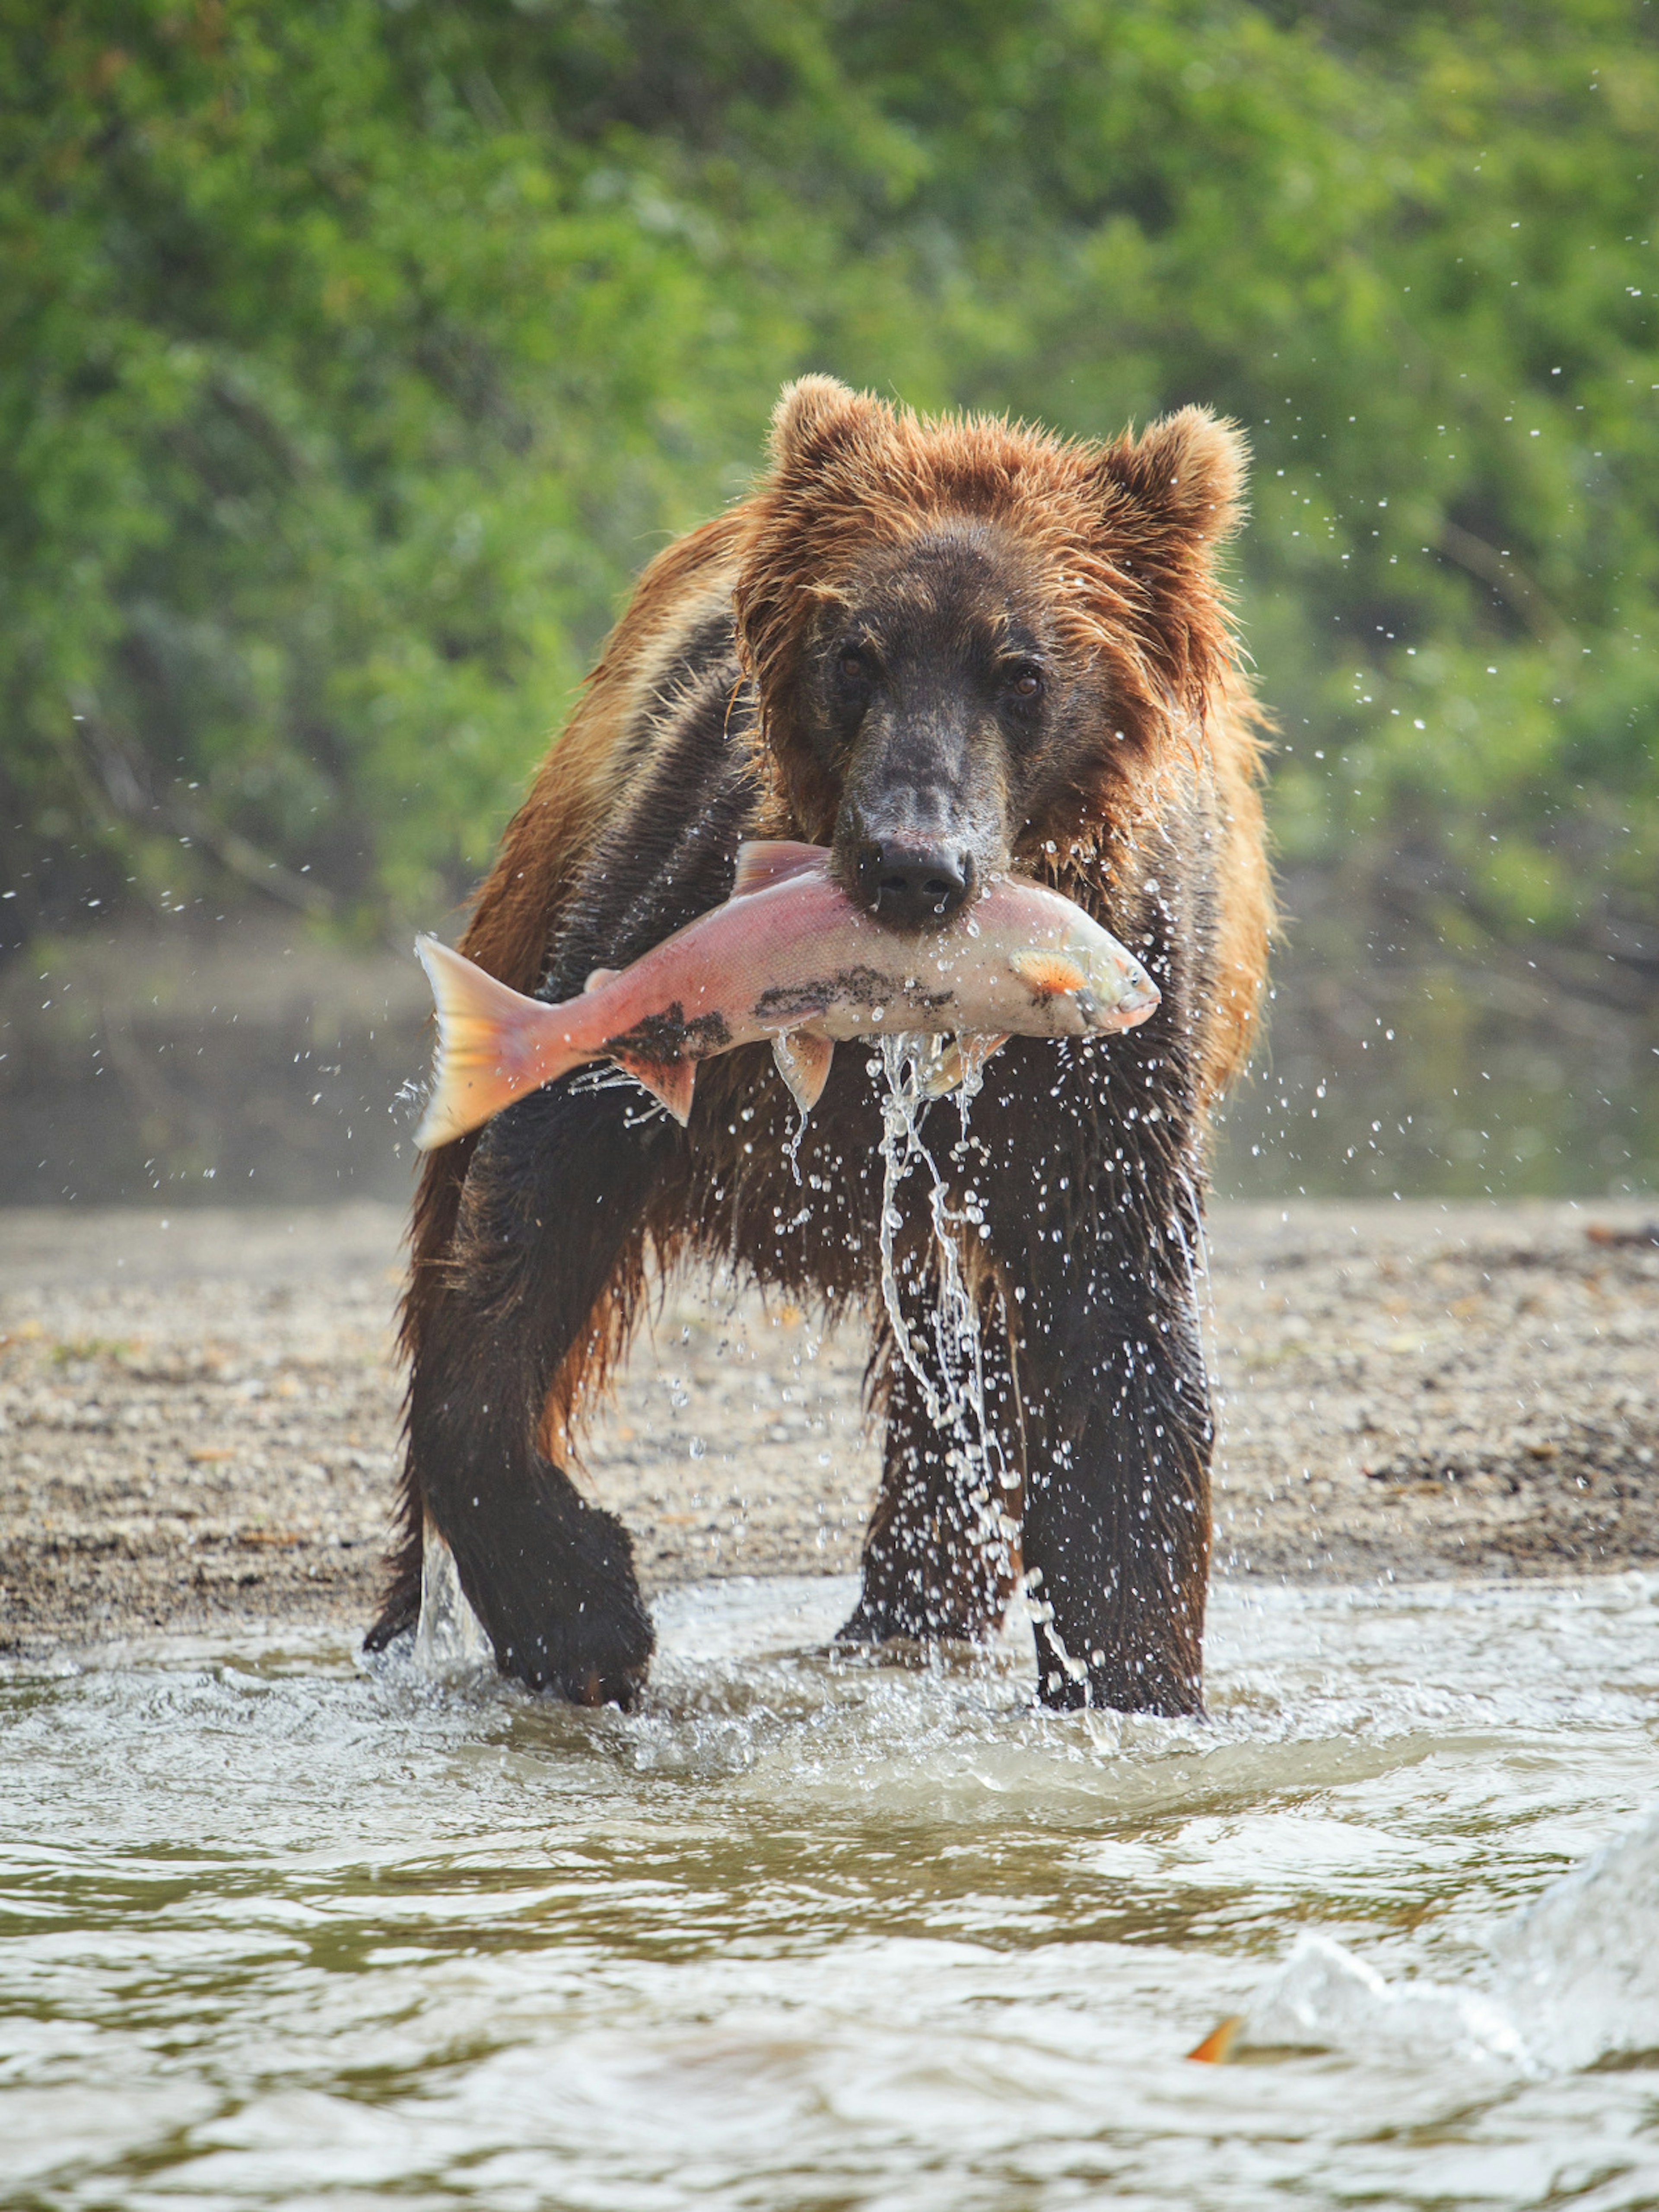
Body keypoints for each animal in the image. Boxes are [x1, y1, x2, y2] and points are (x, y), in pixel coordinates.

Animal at [367, 380, 1274, 1716]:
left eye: (1023, 672)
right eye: (857, 655)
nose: (911, 864)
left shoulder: (1109, 1053)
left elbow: (1117, 1329)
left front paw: (1129, 1678)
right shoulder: (669, 907)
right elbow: (538, 1201)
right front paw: (584, 1613)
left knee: (958, 1384)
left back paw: (907, 1612)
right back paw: (408, 1620)